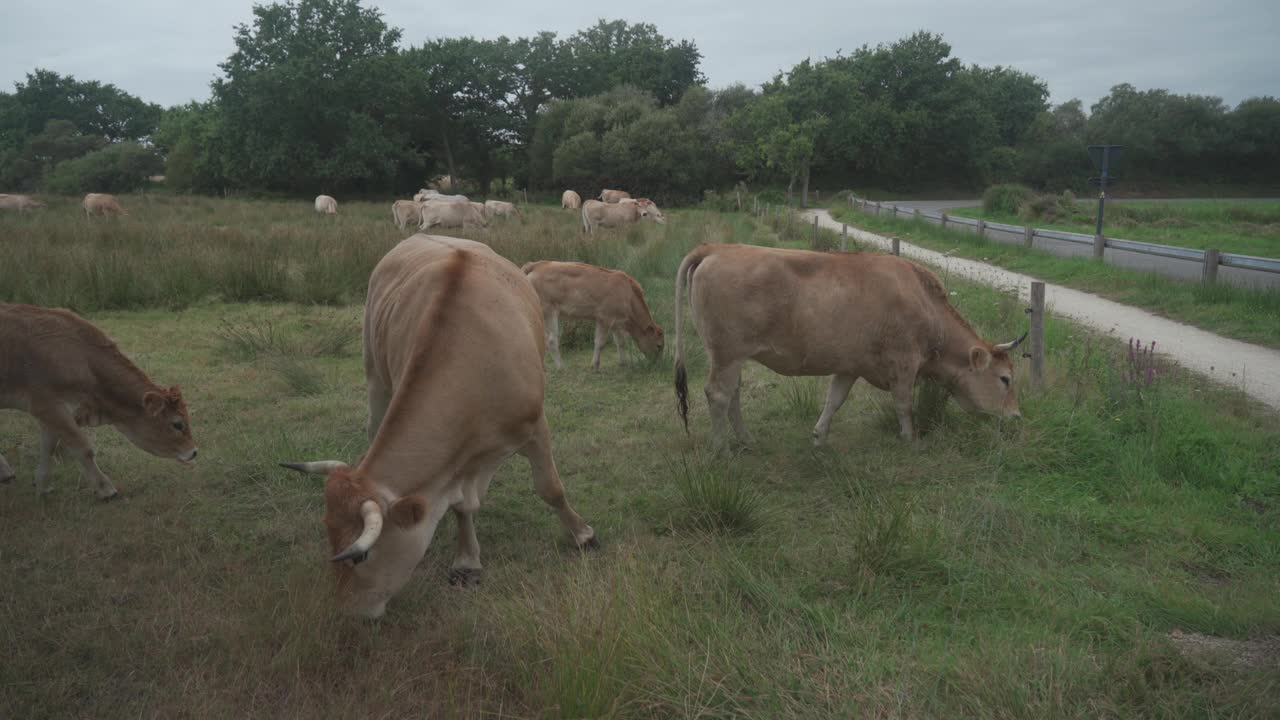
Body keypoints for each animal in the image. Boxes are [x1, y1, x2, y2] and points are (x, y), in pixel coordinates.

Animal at [0, 302, 197, 499]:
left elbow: (50, 446)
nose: (194, 452)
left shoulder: (53, 412)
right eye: (177, 424)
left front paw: (43, 485)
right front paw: (106, 489)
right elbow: (83, 447)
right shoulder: (47, 405)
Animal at [279, 235, 593, 617]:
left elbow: (551, 488)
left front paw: (582, 534)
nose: (348, 611)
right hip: (375, 373)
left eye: (361, 556)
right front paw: (467, 560)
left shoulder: (534, 426)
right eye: (328, 531)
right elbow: (462, 507)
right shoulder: (453, 463)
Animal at [519, 258, 665, 368]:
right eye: (659, 345)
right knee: (551, 340)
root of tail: (537, 264)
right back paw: (561, 367)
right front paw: (595, 365)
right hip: (549, 311)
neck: (628, 294)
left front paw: (623, 363)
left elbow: (620, 342)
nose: (657, 364)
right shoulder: (605, 318)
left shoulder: (616, 322)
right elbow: (600, 342)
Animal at [675, 245, 1024, 448]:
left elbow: (834, 400)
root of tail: (717, 249)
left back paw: (746, 439)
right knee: (719, 395)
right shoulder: (904, 364)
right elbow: (904, 405)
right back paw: (720, 449)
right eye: (1005, 379)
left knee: (732, 394)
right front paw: (909, 439)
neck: (925, 304)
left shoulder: (849, 366)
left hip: (733, 357)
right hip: (727, 353)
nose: (1016, 416)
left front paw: (819, 436)